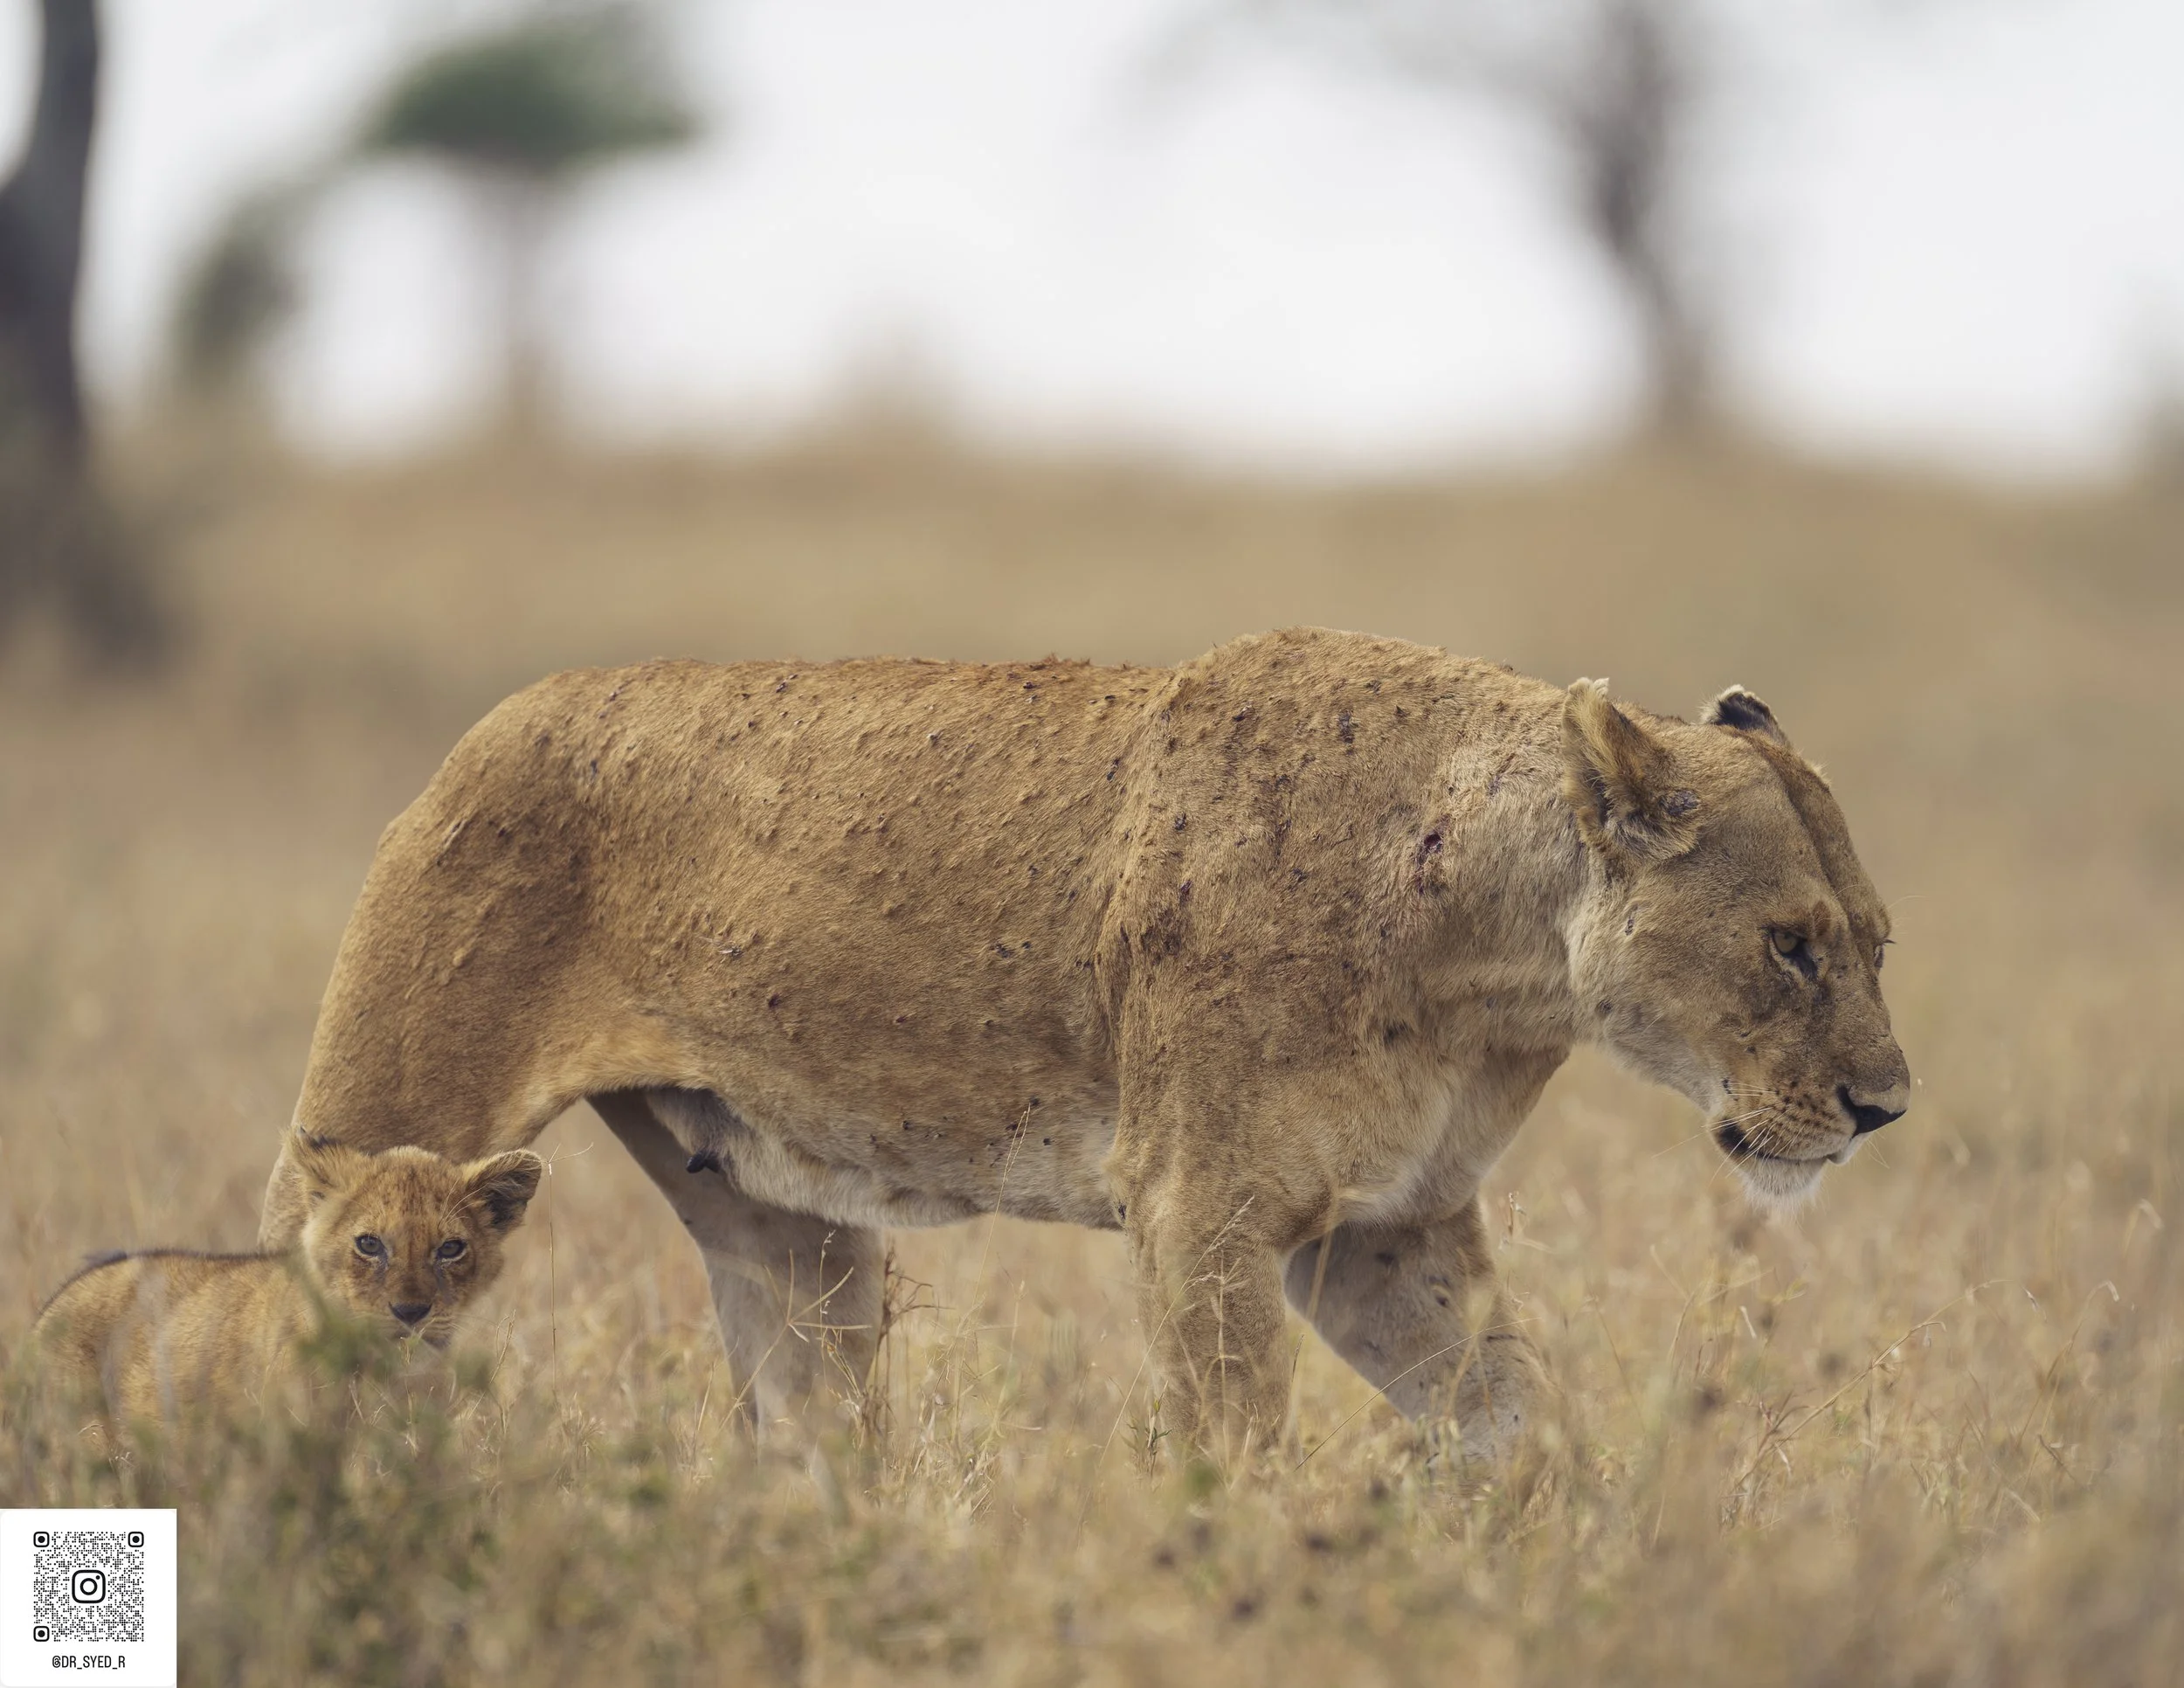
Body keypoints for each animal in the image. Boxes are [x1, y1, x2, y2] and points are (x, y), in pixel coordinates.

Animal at [255, 627, 1908, 1464]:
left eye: (1878, 939)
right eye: (1790, 943)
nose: (1884, 1107)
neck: (1497, 958)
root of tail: (497, 717)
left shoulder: (1384, 1230)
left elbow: (1512, 1416)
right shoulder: (1204, 1206)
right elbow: (1236, 1451)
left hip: (791, 1234)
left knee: (809, 1437)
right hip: (387, 1136)